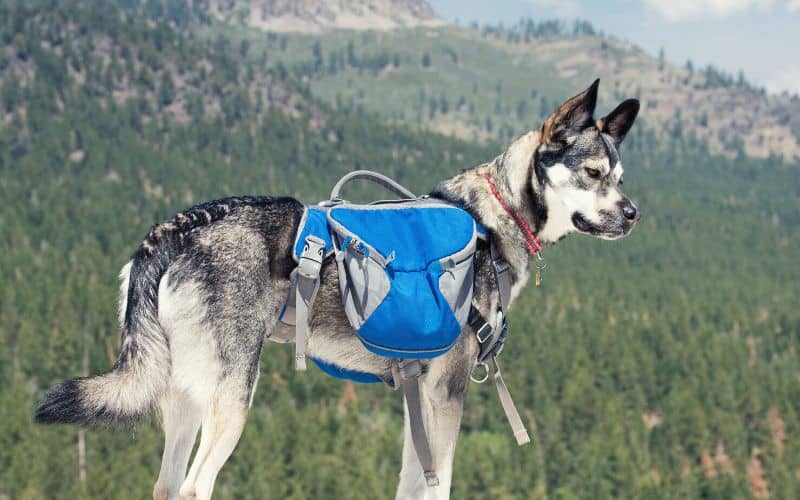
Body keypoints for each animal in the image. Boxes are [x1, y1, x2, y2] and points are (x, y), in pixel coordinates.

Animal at [34, 80, 640, 498]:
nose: (634, 214)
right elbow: (440, 482)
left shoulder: (418, 400)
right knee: (193, 486)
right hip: (232, 397)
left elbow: (412, 483)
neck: (492, 219)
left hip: (184, 394)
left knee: (165, 484)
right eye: (591, 173)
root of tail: (174, 229)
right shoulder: (447, 392)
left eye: (620, 177)